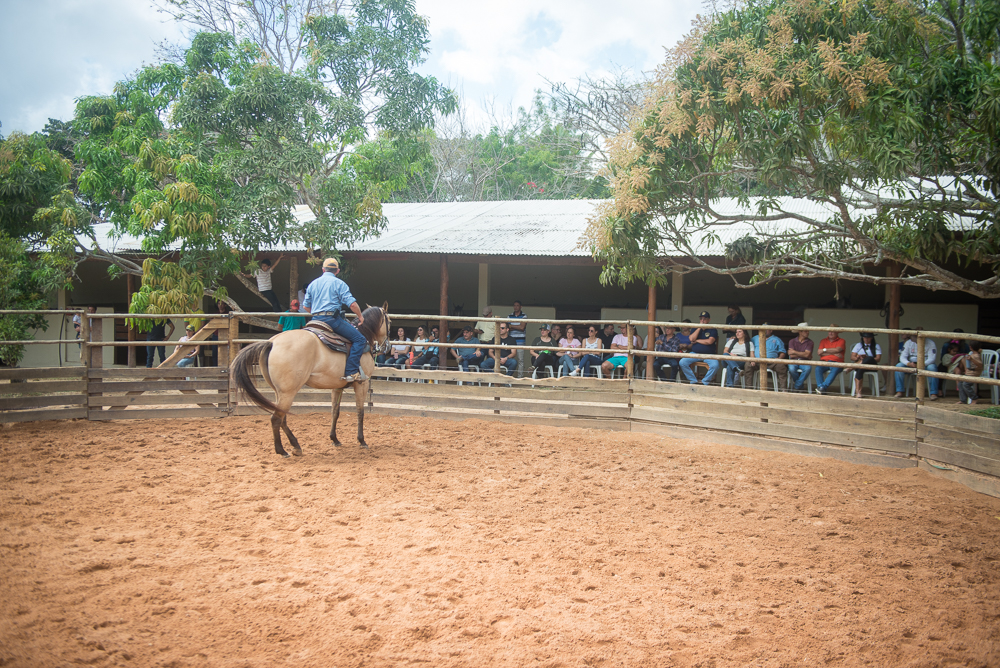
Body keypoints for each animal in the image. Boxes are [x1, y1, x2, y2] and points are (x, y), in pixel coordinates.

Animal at [230, 306, 390, 456]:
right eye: (389, 321)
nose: (387, 347)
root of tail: (272, 343)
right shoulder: (362, 384)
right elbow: (360, 412)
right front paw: (362, 441)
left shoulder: (337, 387)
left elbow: (335, 412)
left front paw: (334, 439)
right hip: (288, 392)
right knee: (276, 419)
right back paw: (282, 450)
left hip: (279, 392)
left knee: (282, 418)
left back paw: (296, 445)